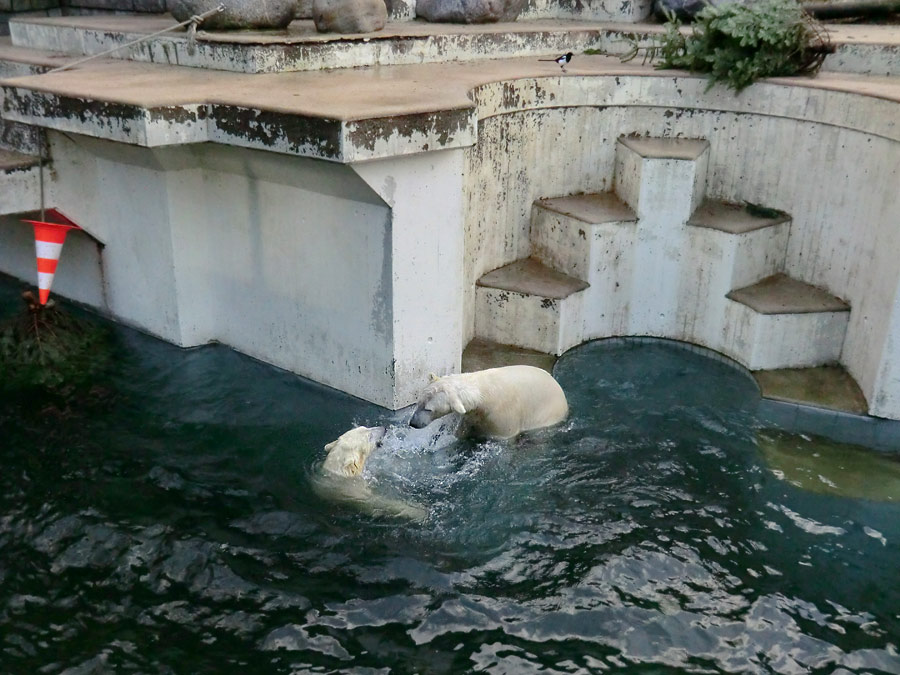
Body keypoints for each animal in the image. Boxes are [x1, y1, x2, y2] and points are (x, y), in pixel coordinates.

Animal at [410, 368, 568, 440]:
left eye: (428, 409)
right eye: (419, 403)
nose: (413, 423)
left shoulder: (502, 417)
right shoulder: (473, 414)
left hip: (547, 413)